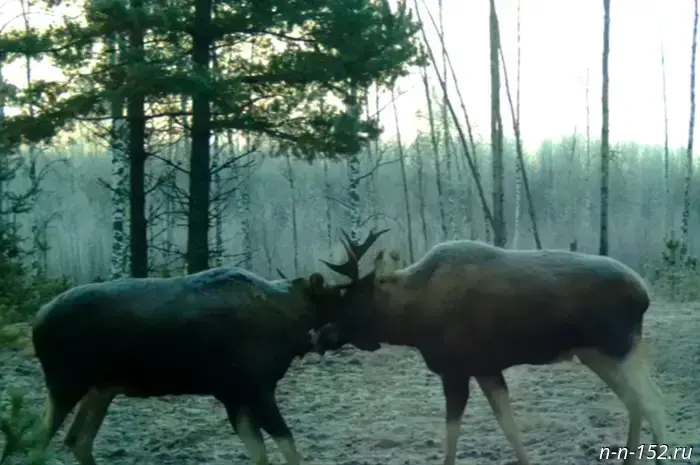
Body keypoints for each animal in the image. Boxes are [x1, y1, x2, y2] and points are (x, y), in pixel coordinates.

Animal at [1, 267, 338, 465]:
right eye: (338, 294)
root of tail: (36, 323)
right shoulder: (253, 388)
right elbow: (286, 445)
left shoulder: (237, 394)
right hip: (66, 381)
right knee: (36, 441)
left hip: (101, 388)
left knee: (77, 439)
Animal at [315, 230, 667, 465]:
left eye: (349, 297)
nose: (321, 335)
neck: (412, 320)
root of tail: (645, 294)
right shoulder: (486, 368)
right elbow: (509, 426)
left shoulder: (455, 371)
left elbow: (452, 433)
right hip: (598, 353)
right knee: (634, 401)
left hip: (617, 346)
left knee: (652, 402)